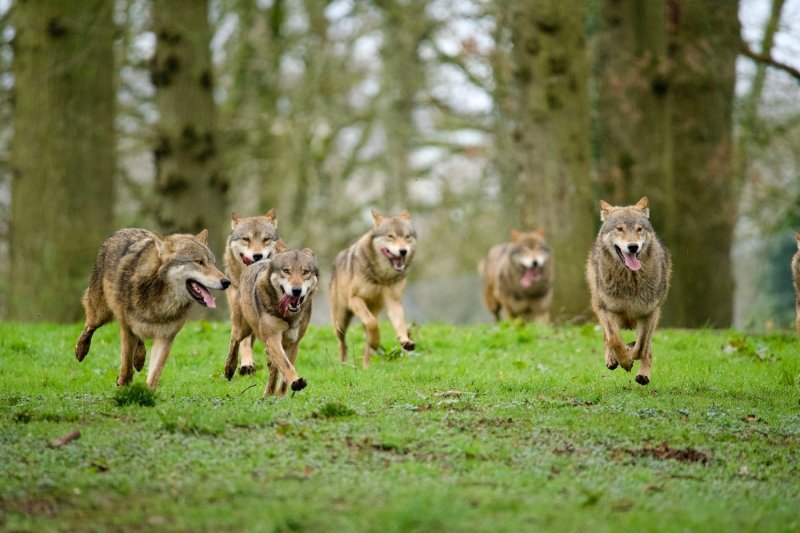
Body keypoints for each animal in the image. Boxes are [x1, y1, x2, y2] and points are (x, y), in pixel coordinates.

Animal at [75, 229, 230, 390]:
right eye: (199, 262)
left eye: (213, 263)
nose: (227, 282)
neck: (162, 302)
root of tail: (121, 231)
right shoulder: (127, 330)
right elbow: (126, 367)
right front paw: (124, 387)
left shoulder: (166, 337)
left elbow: (154, 373)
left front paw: (147, 392)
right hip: (100, 314)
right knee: (89, 327)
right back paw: (81, 350)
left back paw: (139, 359)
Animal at [223, 247, 318, 392]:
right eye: (286, 270)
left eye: (305, 272)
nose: (296, 290)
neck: (287, 316)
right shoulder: (272, 338)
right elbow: (285, 365)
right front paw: (296, 382)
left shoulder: (293, 344)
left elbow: (284, 374)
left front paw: (282, 393)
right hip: (242, 328)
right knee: (235, 341)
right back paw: (230, 369)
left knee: (272, 369)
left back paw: (268, 394)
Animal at [330, 208, 418, 366]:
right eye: (390, 236)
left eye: (407, 236)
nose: (403, 251)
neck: (382, 276)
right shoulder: (355, 299)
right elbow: (372, 322)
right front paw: (376, 341)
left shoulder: (394, 302)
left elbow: (400, 324)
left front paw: (405, 341)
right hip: (340, 320)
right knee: (343, 344)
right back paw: (343, 365)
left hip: (373, 311)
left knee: (368, 343)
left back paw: (366, 365)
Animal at [584, 197, 672, 384]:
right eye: (620, 229)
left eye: (639, 229)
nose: (633, 247)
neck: (629, 281)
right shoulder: (608, 309)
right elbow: (614, 339)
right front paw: (623, 360)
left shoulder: (648, 313)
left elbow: (641, 347)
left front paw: (630, 355)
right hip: (598, 306)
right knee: (607, 338)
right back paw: (612, 359)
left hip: (655, 315)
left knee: (647, 348)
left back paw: (642, 374)